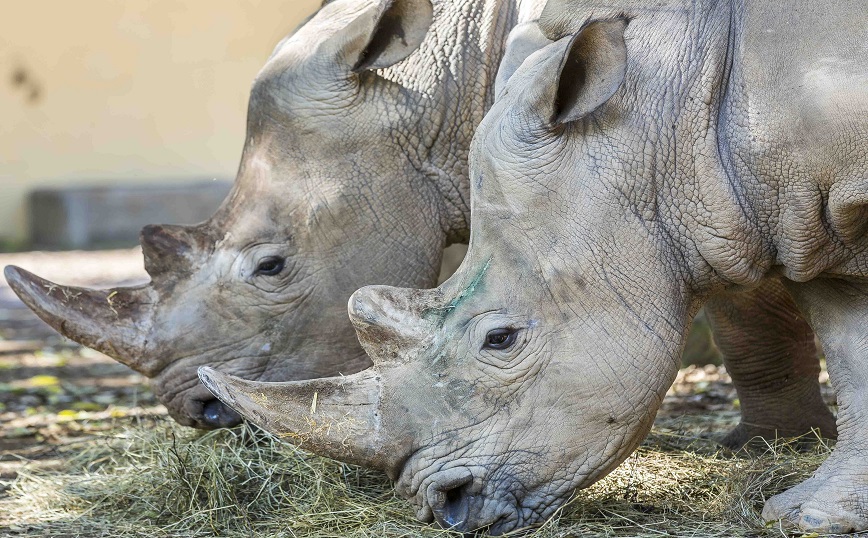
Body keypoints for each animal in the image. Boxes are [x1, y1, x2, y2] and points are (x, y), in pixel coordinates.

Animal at [200, 1, 868, 532]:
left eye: (501, 339)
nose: (447, 507)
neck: (673, 121)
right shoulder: (801, 214)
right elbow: (852, 351)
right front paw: (814, 518)